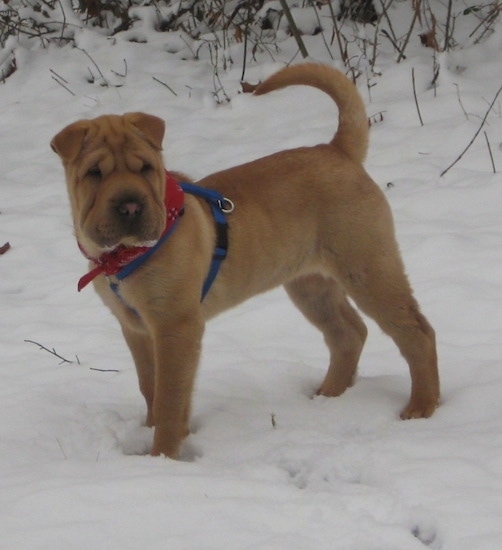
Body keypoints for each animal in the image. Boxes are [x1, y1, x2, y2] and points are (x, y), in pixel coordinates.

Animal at [51, 63, 440, 462]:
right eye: (94, 173)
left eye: (145, 168)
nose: (130, 206)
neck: (123, 254)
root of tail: (337, 151)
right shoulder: (136, 328)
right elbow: (151, 387)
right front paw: (151, 433)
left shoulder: (176, 325)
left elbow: (171, 399)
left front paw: (163, 458)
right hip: (310, 285)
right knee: (348, 333)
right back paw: (328, 396)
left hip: (368, 268)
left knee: (418, 332)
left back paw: (421, 407)